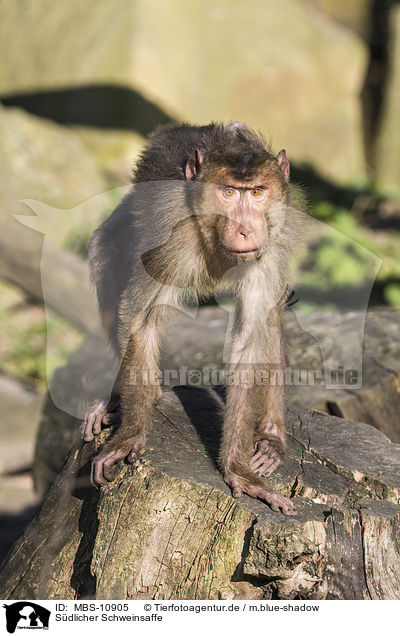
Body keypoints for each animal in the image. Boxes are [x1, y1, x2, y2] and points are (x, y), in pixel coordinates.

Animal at [82, 120, 300, 516]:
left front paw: (238, 469)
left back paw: (272, 436)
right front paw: (131, 432)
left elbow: (251, 336)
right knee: (105, 250)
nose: (245, 229)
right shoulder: (172, 239)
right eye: (228, 193)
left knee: (272, 315)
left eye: (256, 192)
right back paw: (123, 400)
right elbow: (141, 319)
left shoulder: (271, 242)